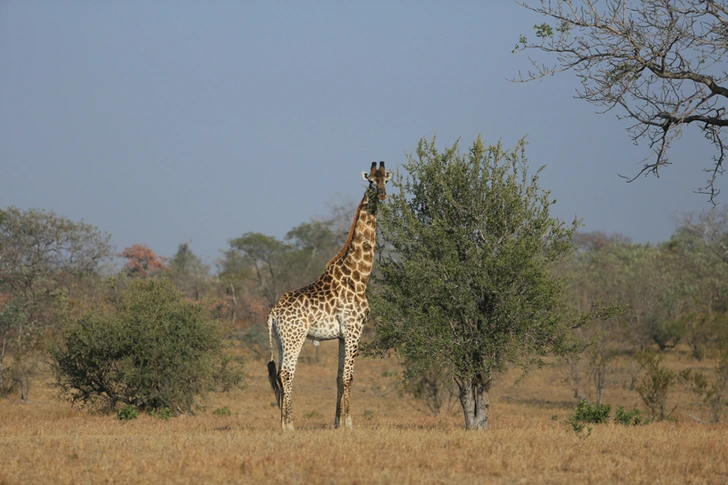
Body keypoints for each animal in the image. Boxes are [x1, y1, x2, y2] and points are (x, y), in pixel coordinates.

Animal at [268, 161, 392, 430]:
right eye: (370, 182)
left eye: (386, 180)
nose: (382, 195)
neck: (359, 277)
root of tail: (273, 312)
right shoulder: (355, 329)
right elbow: (349, 376)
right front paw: (349, 424)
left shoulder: (343, 335)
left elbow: (338, 377)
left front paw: (337, 422)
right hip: (295, 337)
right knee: (287, 373)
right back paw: (289, 425)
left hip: (281, 340)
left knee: (279, 375)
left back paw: (283, 423)